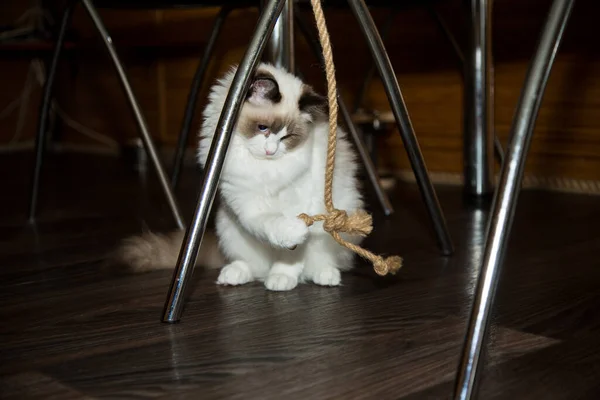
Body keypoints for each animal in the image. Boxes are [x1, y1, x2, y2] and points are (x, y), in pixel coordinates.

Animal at [115, 64, 364, 292]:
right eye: (262, 128)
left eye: (287, 138)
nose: (271, 151)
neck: (260, 167)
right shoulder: (245, 203)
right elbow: (272, 225)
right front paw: (290, 236)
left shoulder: (300, 202)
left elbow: (291, 257)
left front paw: (282, 277)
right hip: (228, 228)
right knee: (250, 265)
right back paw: (233, 275)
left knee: (322, 263)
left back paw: (325, 276)